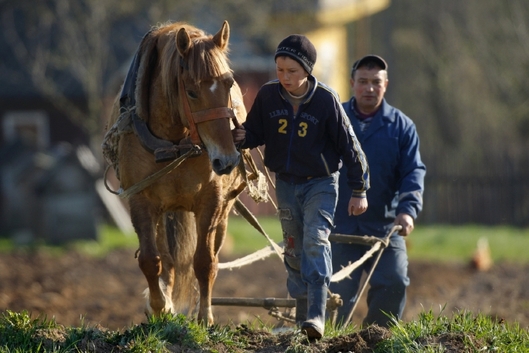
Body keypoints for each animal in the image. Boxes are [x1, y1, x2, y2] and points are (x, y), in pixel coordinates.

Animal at [102, 20, 248, 324]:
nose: (227, 159)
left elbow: (204, 262)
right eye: (191, 91)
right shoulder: (141, 200)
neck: (175, 142)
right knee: (165, 260)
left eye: (229, 84)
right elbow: (150, 260)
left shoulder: (211, 201)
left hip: (223, 211)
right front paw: (159, 307)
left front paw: (204, 317)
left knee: (212, 257)